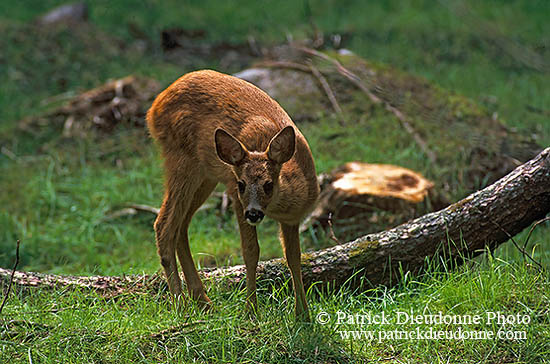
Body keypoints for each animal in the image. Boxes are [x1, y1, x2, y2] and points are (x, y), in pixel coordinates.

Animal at [147, 69, 322, 320]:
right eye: (241, 184)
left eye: (269, 184)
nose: (254, 214)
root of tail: (154, 107)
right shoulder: (236, 197)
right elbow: (251, 251)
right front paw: (251, 311)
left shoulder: (292, 219)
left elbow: (294, 257)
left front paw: (303, 315)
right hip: (181, 160)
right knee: (164, 224)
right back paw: (180, 306)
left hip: (206, 175)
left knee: (181, 226)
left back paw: (203, 302)